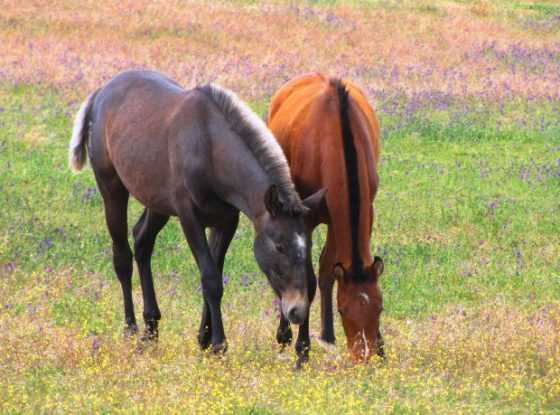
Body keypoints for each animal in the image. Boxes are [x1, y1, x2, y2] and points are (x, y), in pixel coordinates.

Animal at [69, 69, 324, 364]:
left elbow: (214, 273)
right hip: (112, 189)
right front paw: (218, 345)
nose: (298, 310)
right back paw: (131, 329)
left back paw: (151, 328)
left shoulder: (225, 221)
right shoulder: (189, 218)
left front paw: (204, 339)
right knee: (122, 256)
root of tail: (101, 92)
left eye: (308, 246)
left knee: (142, 241)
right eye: (279, 246)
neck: (209, 146)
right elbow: (211, 279)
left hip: (157, 203)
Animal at [268, 73, 384, 362]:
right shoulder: (306, 218)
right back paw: (285, 334)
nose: (363, 356)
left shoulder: (359, 214)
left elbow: (327, 269)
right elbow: (306, 279)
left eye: (380, 308)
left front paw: (382, 346)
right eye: (343, 309)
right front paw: (302, 350)